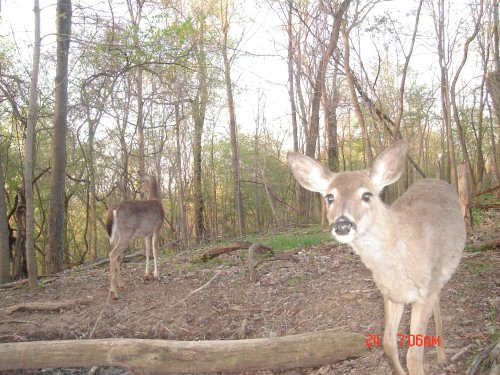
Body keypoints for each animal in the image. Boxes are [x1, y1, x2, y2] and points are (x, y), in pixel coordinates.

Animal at [288, 142, 466, 375]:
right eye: (329, 197)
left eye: (366, 195)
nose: (342, 225)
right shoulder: (391, 294)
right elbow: (388, 344)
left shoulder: (424, 292)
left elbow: (414, 357)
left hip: (439, 276)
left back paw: (443, 358)